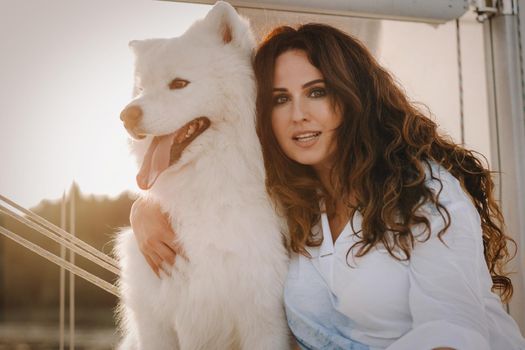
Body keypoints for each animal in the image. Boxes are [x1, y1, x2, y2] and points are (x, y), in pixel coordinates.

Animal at [115, 2, 292, 350]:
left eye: (179, 84)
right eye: (140, 89)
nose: (126, 115)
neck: (206, 193)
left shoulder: (263, 319)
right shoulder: (155, 325)